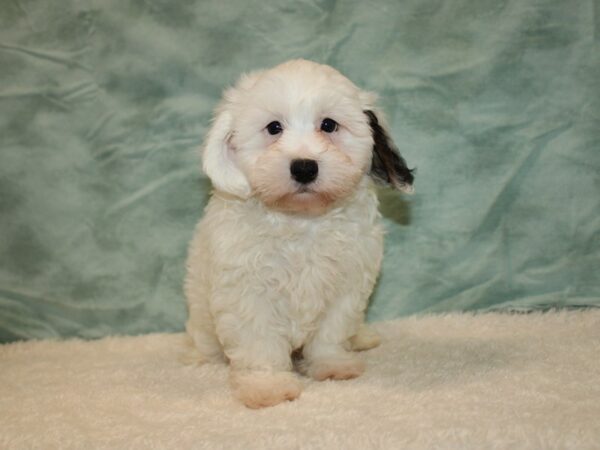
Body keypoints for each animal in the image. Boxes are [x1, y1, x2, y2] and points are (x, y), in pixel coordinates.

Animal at [185, 59, 414, 408]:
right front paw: (267, 386)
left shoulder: (346, 286)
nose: (304, 167)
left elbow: (332, 331)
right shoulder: (248, 291)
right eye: (274, 128)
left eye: (329, 125)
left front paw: (332, 365)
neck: (303, 220)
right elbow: (259, 342)